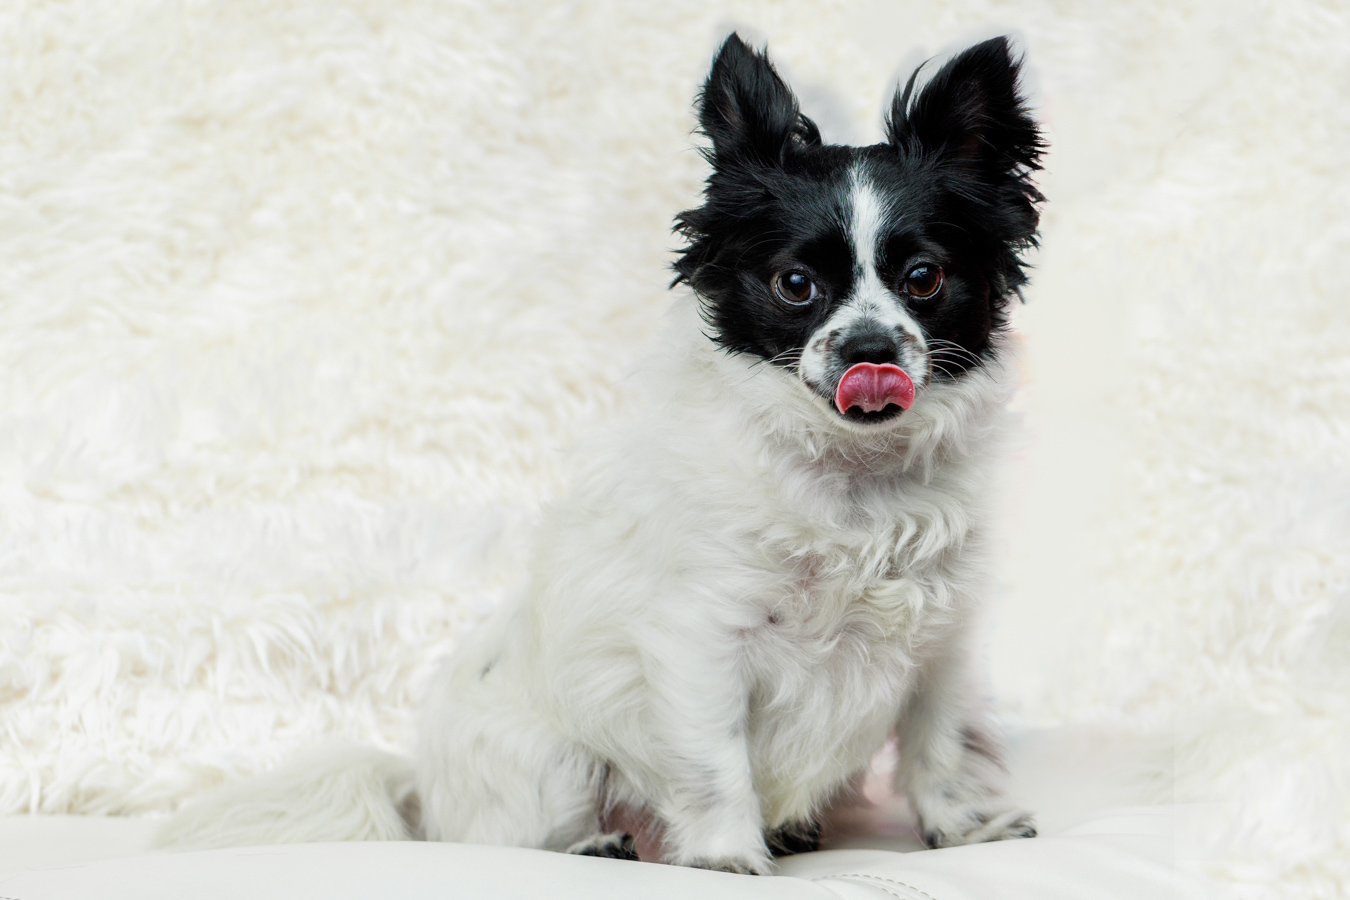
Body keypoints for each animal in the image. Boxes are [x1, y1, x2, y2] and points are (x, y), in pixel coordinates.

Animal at [157, 33, 1042, 874]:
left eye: (923, 279)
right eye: (796, 286)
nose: (869, 349)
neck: (857, 479)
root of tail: (419, 789)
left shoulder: (942, 650)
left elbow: (942, 750)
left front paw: (963, 832)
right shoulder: (702, 643)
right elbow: (717, 762)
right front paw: (724, 855)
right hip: (555, 764)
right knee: (516, 837)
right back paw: (597, 846)